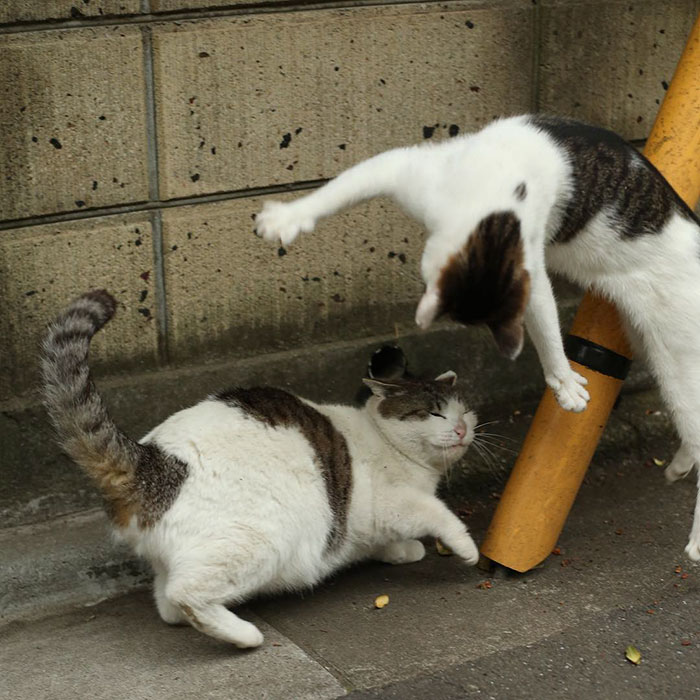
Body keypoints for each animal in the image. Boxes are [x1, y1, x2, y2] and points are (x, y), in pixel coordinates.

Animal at [41, 290, 482, 644]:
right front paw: (465, 548)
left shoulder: (369, 525)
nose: (462, 428)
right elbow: (437, 515)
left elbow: (384, 542)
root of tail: (153, 461)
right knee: (186, 593)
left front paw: (402, 551)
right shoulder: (394, 503)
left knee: (166, 599)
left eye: (465, 411)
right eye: (434, 413)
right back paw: (244, 635)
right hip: (262, 541)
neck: (388, 444)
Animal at [256, 116, 700, 564]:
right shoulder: (408, 172)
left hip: (681, 360)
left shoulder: (527, 258)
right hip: (655, 351)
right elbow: (343, 186)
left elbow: (546, 322)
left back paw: (696, 540)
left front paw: (563, 381)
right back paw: (678, 466)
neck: (487, 194)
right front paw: (288, 218)